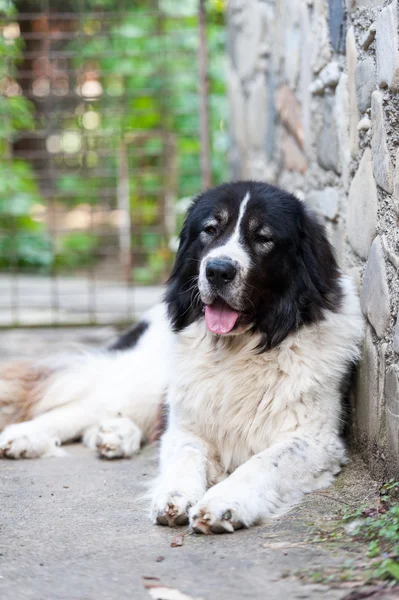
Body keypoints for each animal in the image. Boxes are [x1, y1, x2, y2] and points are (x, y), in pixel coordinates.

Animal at [0, 182, 366, 536]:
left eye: (263, 238)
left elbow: (262, 463)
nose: (218, 270)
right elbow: (186, 454)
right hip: (146, 378)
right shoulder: (188, 424)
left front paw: (223, 502)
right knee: (79, 408)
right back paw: (25, 436)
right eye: (210, 230)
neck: (241, 349)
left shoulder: (314, 440)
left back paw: (114, 436)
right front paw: (175, 495)